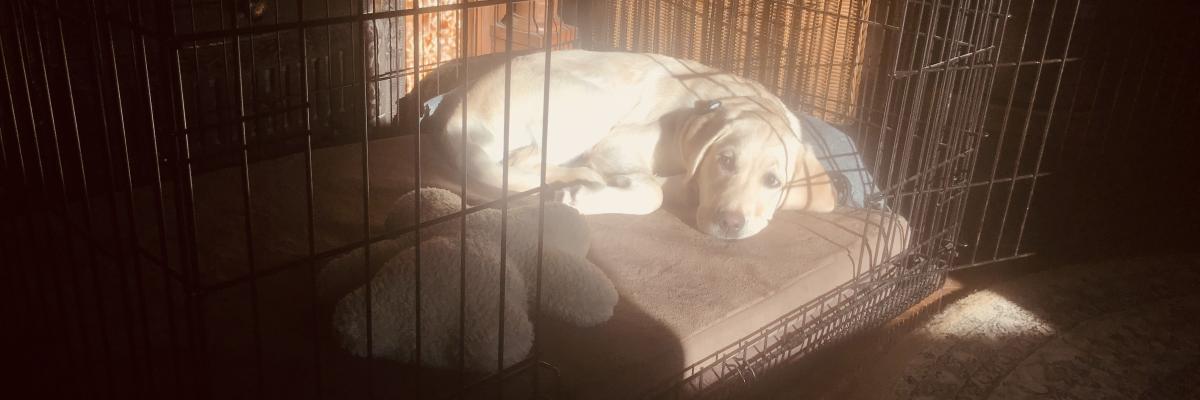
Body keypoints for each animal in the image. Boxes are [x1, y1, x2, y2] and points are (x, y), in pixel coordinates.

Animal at [432, 48, 835, 236]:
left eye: (773, 182)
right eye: (725, 161)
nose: (731, 224)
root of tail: (457, 121)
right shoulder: (619, 143)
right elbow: (651, 194)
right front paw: (588, 196)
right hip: (593, 103)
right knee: (525, 162)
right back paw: (585, 180)